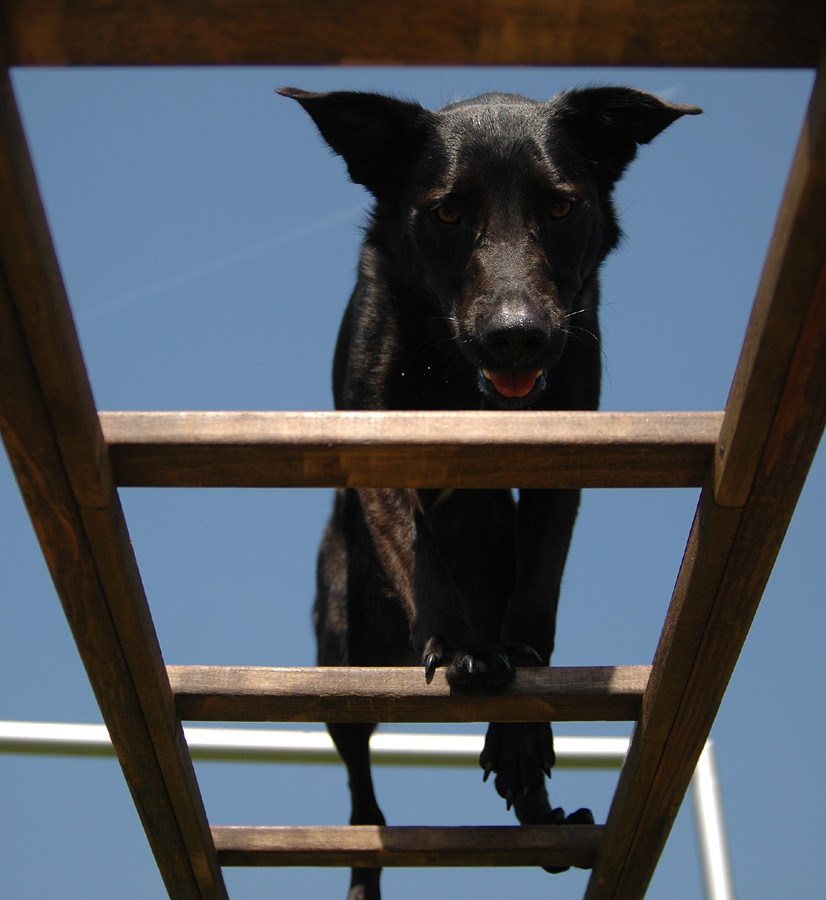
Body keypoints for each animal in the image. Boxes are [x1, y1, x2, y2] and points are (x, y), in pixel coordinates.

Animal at [280, 81, 700, 896]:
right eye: (447, 213)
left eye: (561, 207)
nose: (517, 337)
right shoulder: (379, 438)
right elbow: (416, 550)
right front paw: (466, 648)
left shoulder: (563, 447)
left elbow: (537, 598)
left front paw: (521, 730)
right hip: (339, 646)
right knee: (361, 789)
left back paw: (541, 814)